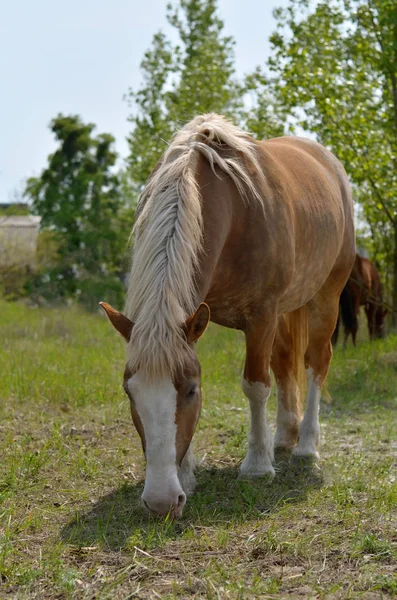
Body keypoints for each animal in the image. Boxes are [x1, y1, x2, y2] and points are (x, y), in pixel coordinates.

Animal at [100, 115, 354, 516]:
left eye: (191, 391)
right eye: (129, 391)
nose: (161, 501)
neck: (234, 211)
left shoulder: (261, 315)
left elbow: (256, 385)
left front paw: (257, 466)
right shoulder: (197, 319)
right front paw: (186, 473)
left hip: (324, 296)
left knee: (316, 361)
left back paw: (306, 446)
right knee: (286, 362)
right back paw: (284, 436)